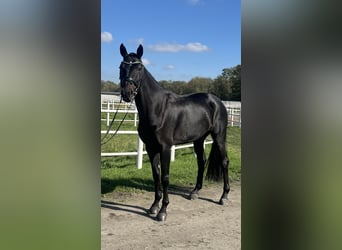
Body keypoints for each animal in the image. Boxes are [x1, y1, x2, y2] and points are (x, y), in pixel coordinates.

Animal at [119, 44, 230, 222]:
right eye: (121, 67)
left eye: (139, 68)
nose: (127, 93)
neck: (157, 108)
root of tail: (217, 101)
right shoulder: (151, 148)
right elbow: (156, 174)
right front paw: (154, 207)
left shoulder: (165, 148)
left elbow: (165, 177)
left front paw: (163, 211)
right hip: (199, 139)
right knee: (201, 161)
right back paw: (195, 192)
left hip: (219, 136)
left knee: (224, 161)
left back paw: (224, 196)